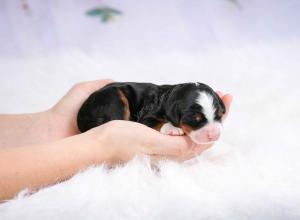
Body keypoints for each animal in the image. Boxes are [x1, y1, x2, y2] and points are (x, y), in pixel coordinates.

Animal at [77, 82, 225, 144]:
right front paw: (172, 128)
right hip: (114, 99)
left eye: (219, 115)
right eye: (195, 118)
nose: (214, 135)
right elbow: (158, 123)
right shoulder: (146, 118)